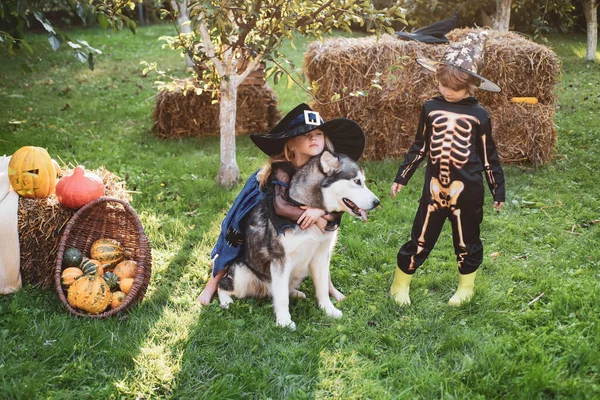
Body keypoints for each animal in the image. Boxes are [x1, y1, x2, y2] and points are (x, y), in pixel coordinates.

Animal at [217, 152, 380, 330]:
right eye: (357, 181)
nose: (377, 202)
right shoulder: (280, 260)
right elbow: (282, 298)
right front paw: (284, 322)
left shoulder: (321, 255)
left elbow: (322, 288)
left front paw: (328, 309)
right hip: (241, 275)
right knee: (223, 285)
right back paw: (226, 302)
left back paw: (296, 293)